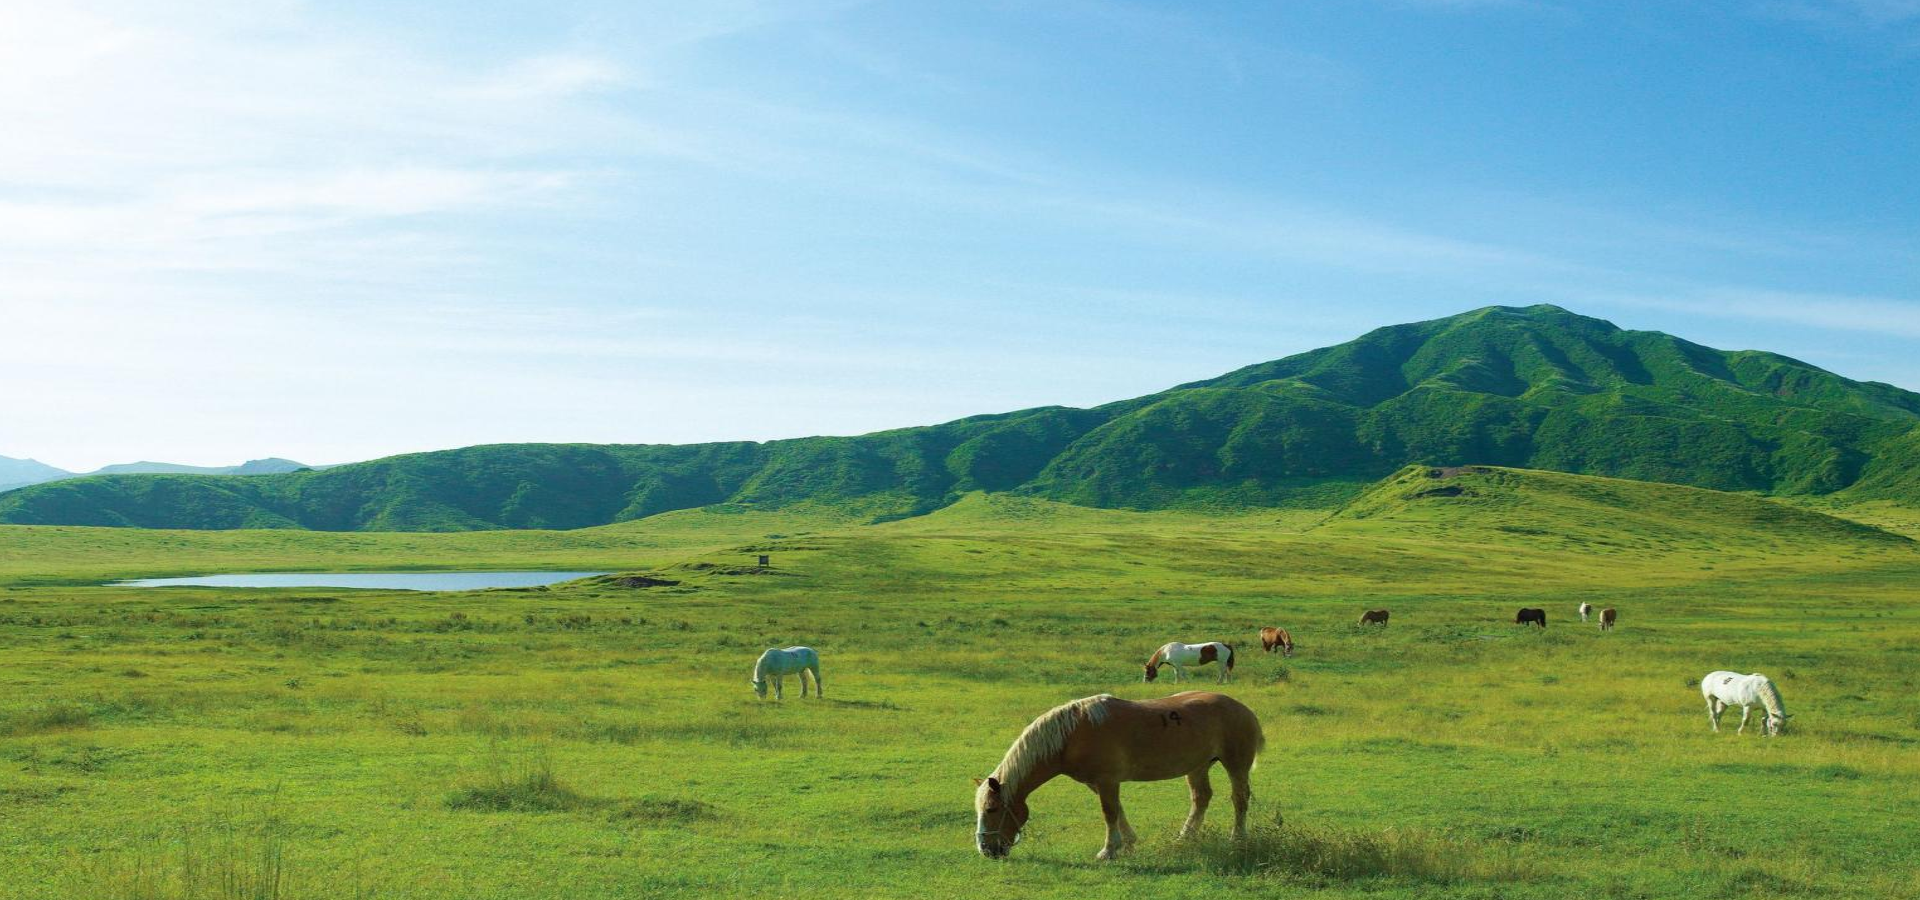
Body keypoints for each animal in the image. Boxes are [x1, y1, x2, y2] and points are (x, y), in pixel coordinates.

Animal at [967, 690, 1267, 859]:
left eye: (992, 809)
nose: (985, 850)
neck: (1072, 734)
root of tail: (1243, 709)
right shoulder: (1098, 783)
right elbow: (1118, 811)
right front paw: (1129, 843)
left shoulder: (1107, 781)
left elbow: (1109, 813)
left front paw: (1109, 850)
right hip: (1198, 767)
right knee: (1201, 798)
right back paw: (1185, 837)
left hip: (1236, 765)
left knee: (1239, 799)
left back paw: (1237, 839)